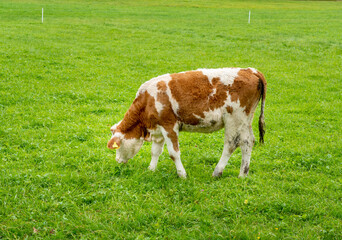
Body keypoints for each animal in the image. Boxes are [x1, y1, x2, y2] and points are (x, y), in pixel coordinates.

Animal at [108, 67, 266, 178]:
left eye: (117, 147)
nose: (117, 160)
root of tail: (250, 70)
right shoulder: (159, 128)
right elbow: (155, 151)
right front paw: (151, 169)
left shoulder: (169, 126)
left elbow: (174, 153)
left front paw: (182, 174)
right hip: (245, 121)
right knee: (247, 142)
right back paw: (243, 174)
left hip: (234, 119)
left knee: (231, 144)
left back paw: (217, 172)